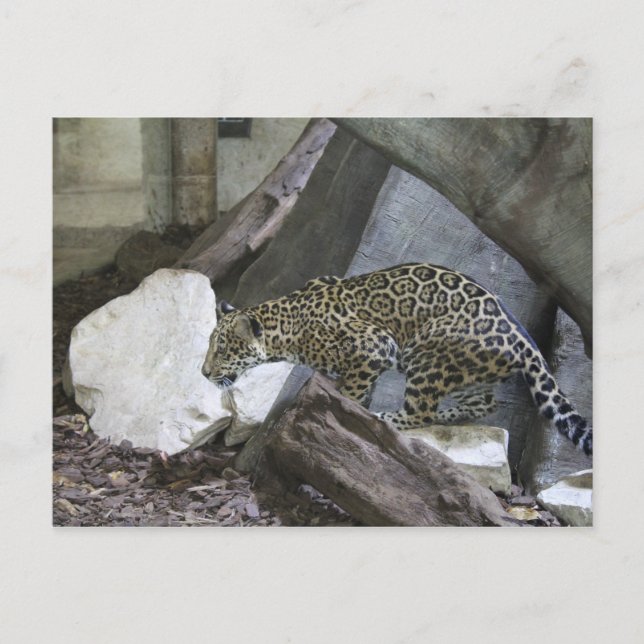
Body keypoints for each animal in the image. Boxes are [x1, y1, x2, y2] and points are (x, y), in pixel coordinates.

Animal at [202, 263, 592, 456]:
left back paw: (387, 418)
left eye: (221, 348)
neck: (286, 327)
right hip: (467, 373)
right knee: (480, 403)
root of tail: (526, 344)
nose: (203, 372)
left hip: (428, 354)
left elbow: (352, 388)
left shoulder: (375, 344)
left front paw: (344, 405)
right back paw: (448, 415)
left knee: (421, 411)